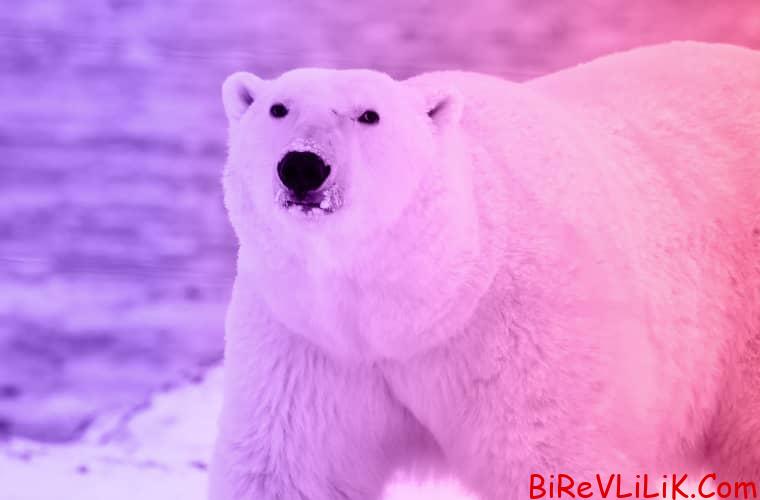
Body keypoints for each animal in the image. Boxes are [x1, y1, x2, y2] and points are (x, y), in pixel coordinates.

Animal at [209, 41, 760, 500]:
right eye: (278, 108)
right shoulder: (307, 344)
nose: (303, 166)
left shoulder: (526, 338)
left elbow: (555, 460)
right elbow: (289, 470)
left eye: (369, 115)